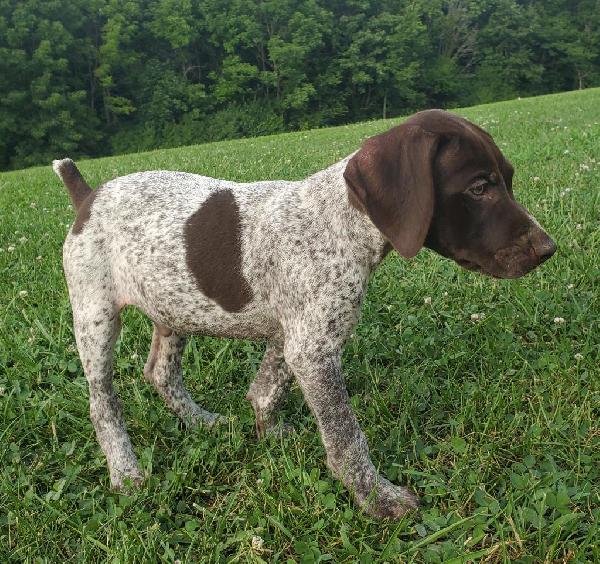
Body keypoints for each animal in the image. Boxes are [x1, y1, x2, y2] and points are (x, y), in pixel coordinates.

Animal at [54, 110, 556, 520]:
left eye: (507, 179)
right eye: (478, 188)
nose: (548, 249)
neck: (343, 222)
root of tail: (88, 196)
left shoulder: (294, 335)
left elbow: (266, 389)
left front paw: (270, 431)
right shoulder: (314, 349)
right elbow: (345, 435)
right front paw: (376, 497)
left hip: (172, 306)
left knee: (160, 372)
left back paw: (202, 422)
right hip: (95, 315)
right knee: (103, 402)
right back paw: (126, 472)